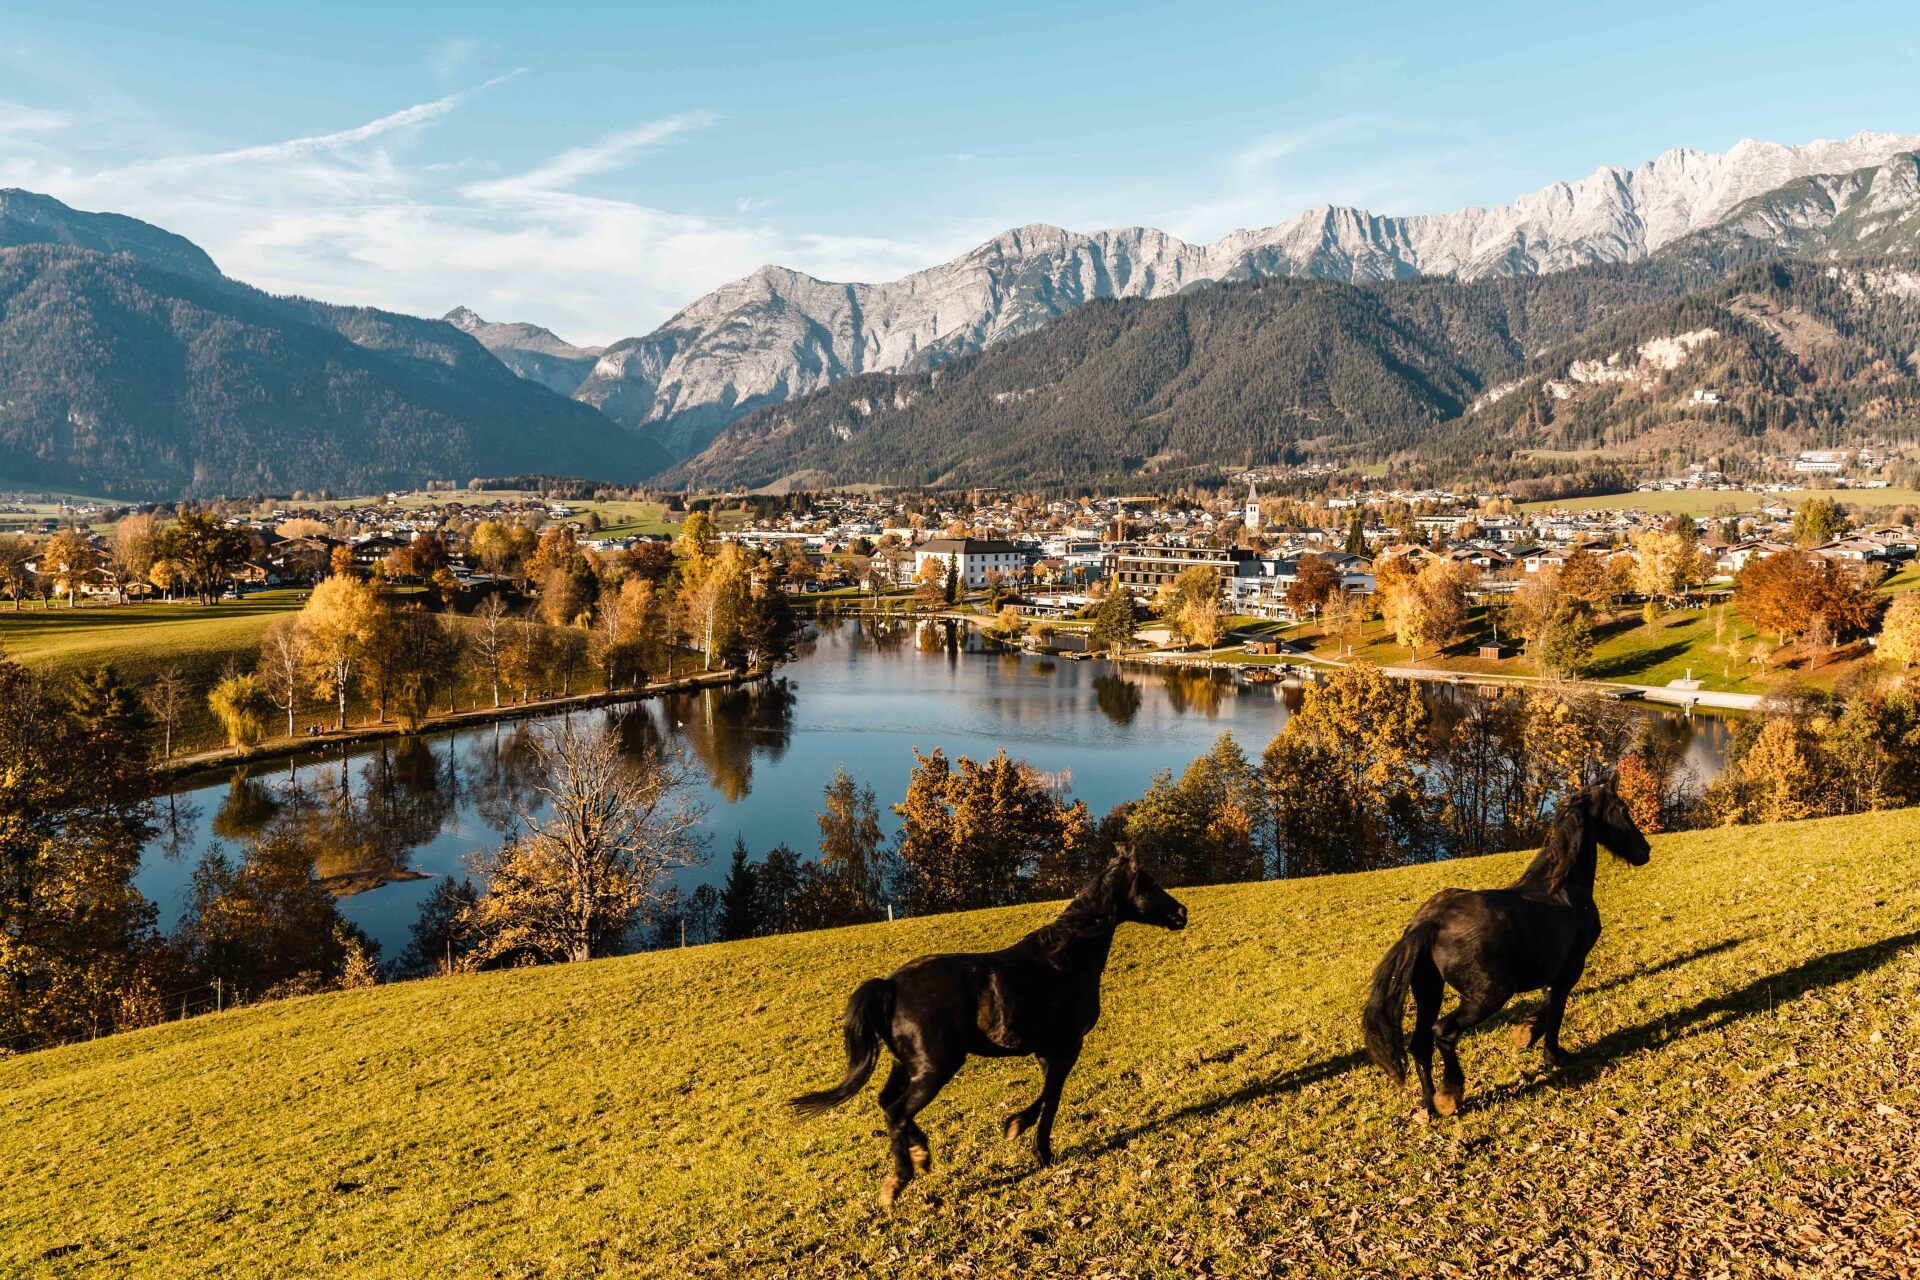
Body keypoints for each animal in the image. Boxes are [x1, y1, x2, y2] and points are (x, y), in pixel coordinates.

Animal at [783, 855, 1175, 1205]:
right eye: (1151, 883)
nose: (1181, 914)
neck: (1064, 960)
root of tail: (890, 985)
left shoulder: (1047, 1051)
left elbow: (1047, 1096)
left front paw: (1019, 1130)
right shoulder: (1067, 1047)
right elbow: (1051, 1099)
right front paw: (1035, 1145)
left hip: (905, 1065)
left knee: (887, 1104)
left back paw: (921, 1153)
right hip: (934, 1069)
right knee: (896, 1112)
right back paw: (898, 1181)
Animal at [1367, 782, 1651, 1120]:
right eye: (1622, 809)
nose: (1644, 851)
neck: (1563, 887)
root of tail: (1428, 924)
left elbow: (1549, 1002)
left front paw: (1526, 1034)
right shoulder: (1571, 966)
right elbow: (1556, 1007)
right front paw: (1549, 1052)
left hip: (1430, 992)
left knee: (1420, 1044)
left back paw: (1431, 1105)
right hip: (1489, 995)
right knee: (1443, 1032)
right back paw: (1450, 1095)